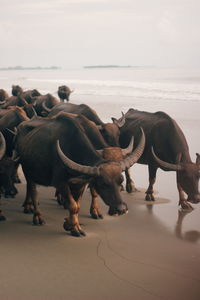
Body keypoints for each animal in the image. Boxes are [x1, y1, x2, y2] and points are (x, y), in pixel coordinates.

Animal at [14, 111, 145, 236]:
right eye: (103, 184)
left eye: (121, 180)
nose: (121, 209)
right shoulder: (61, 183)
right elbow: (73, 205)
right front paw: (74, 228)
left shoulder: (81, 183)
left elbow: (77, 205)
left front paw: (72, 224)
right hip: (28, 171)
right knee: (33, 192)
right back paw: (36, 215)